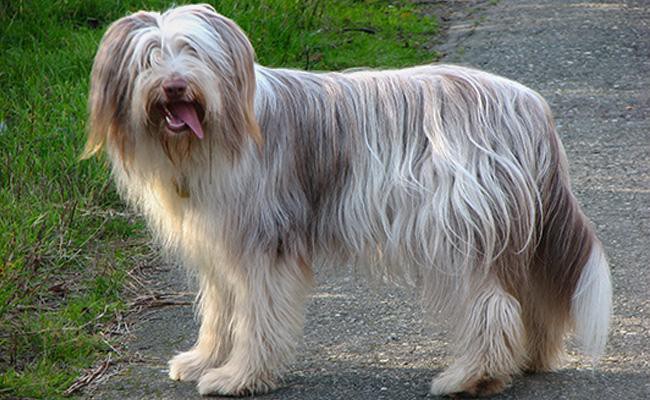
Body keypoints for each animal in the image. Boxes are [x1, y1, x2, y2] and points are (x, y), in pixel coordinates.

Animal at [83, 4, 612, 398]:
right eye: (149, 58)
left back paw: (472, 376)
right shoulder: (220, 246)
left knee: (491, 305)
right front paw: (203, 360)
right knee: (531, 295)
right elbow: (219, 311)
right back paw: (527, 359)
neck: (212, 137)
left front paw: (239, 376)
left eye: (192, 52)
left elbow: (256, 316)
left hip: (456, 231)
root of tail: (530, 105)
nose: (175, 85)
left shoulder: (264, 246)